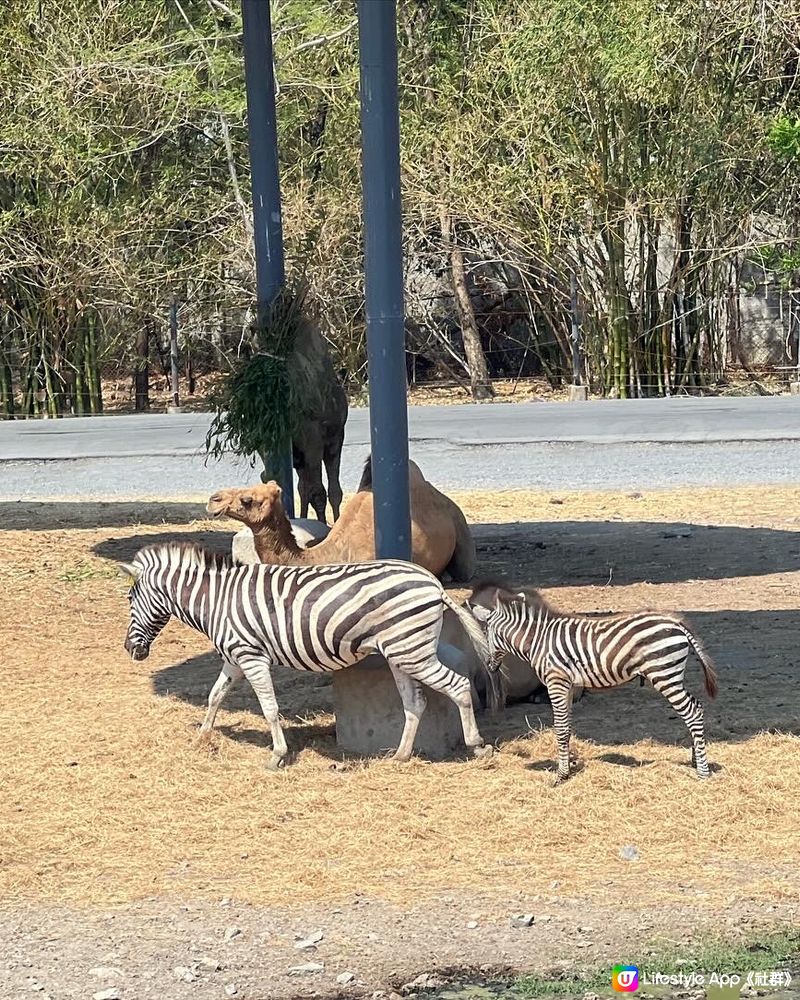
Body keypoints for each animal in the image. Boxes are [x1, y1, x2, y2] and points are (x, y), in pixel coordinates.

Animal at [119, 544, 494, 768]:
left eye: (130, 598)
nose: (129, 650)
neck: (216, 600)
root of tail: (433, 582)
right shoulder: (235, 658)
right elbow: (215, 696)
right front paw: (202, 737)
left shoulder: (251, 656)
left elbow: (270, 708)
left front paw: (277, 755)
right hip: (400, 653)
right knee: (415, 702)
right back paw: (400, 756)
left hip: (412, 651)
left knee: (458, 686)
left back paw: (477, 744)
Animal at [462, 584, 720, 784]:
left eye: (484, 634)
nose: (489, 666)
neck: (537, 641)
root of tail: (677, 624)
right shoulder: (566, 685)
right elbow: (566, 727)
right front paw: (569, 765)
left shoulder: (556, 682)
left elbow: (561, 728)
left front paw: (561, 775)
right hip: (671, 674)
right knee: (696, 707)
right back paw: (695, 759)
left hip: (664, 674)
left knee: (692, 711)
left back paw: (703, 772)